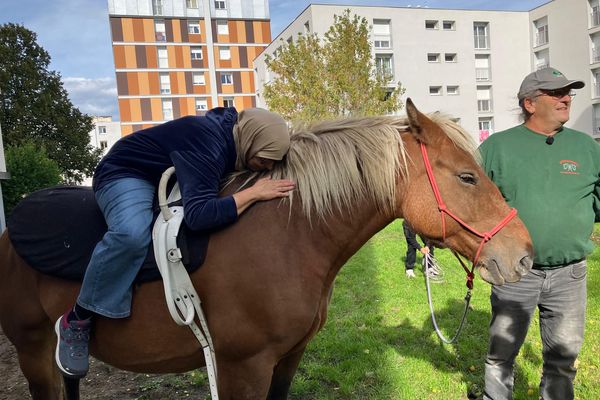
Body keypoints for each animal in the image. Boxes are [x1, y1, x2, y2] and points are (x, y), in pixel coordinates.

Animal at [0, 97, 536, 400]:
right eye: (467, 177)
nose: (525, 256)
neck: (288, 237)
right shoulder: (243, 368)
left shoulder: (288, 358)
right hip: (33, 349)